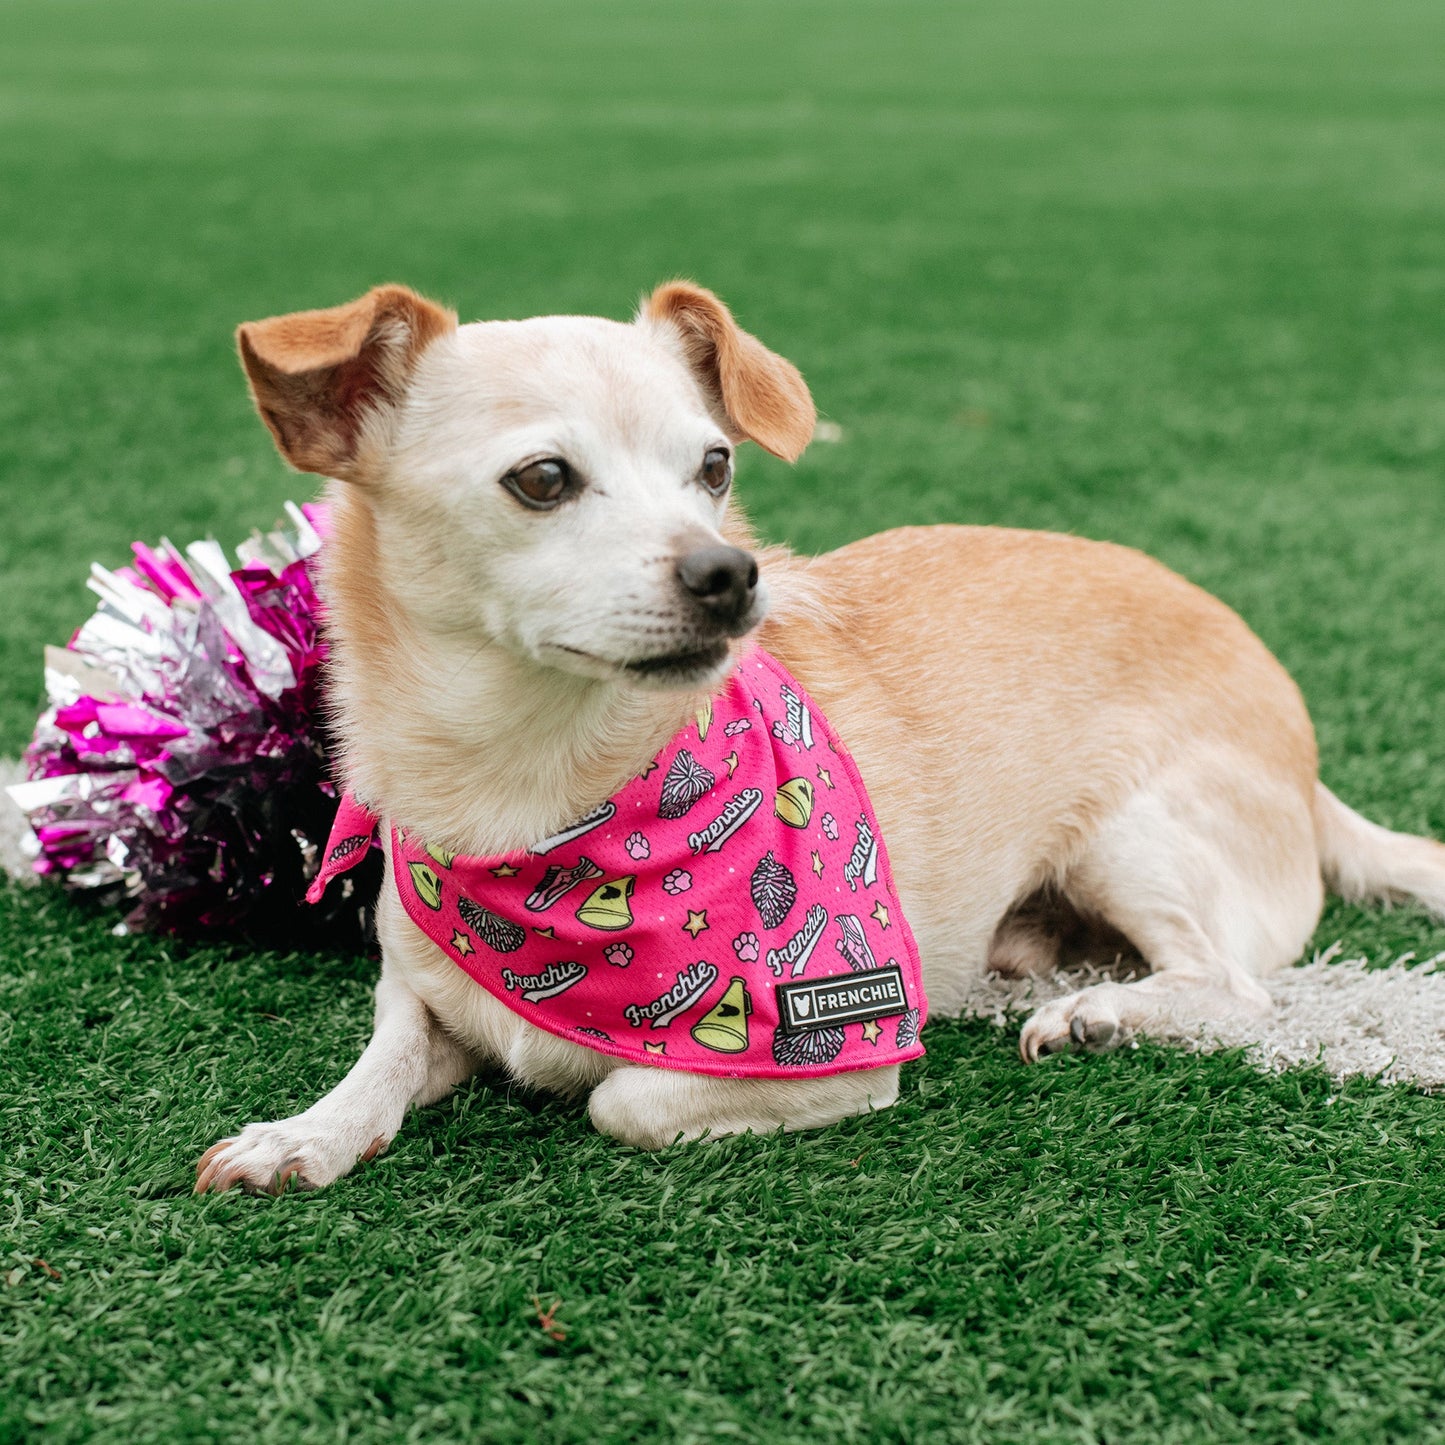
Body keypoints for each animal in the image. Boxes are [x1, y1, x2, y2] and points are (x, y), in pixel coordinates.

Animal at [195, 281, 1445, 1196]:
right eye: (541, 478)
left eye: (714, 466)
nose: (728, 572)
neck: (539, 795)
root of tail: (1304, 756)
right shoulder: (414, 991)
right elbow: (384, 1057)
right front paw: (301, 1133)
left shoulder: (832, 1047)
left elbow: (620, 1097)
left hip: (1132, 837)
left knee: (1231, 985)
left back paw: (1102, 1014)